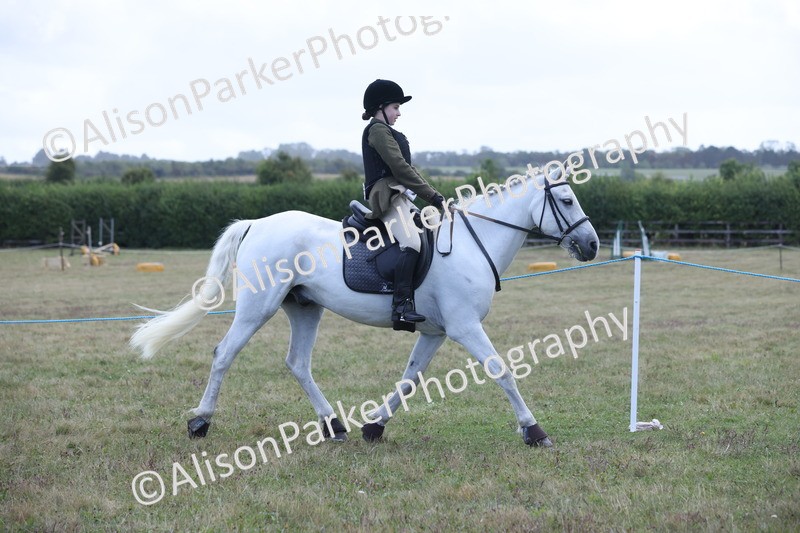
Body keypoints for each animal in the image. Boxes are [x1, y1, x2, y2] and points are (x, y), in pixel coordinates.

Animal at [130, 168, 599, 447]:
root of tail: (256, 224)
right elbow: (501, 370)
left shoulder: (436, 331)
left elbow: (409, 379)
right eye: (568, 201)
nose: (592, 245)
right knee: (224, 354)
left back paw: (333, 425)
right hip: (257, 308)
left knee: (297, 363)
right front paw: (534, 430)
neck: (471, 242)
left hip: (305, 308)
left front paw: (374, 425)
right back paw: (200, 422)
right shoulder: (464, 327)